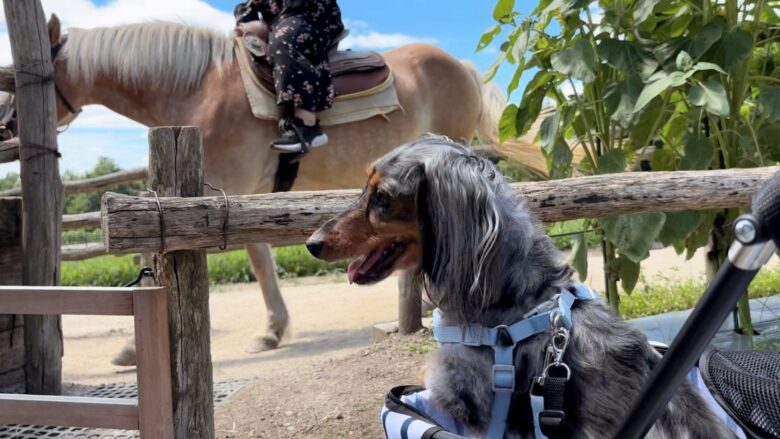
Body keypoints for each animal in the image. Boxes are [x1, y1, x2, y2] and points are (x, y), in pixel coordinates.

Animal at [0, 14, 548, 364]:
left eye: (37, 74)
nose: (6, 126)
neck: (197, 90)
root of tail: (462, 66)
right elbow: (245, 255)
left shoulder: (224, 192)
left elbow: (245, 257)